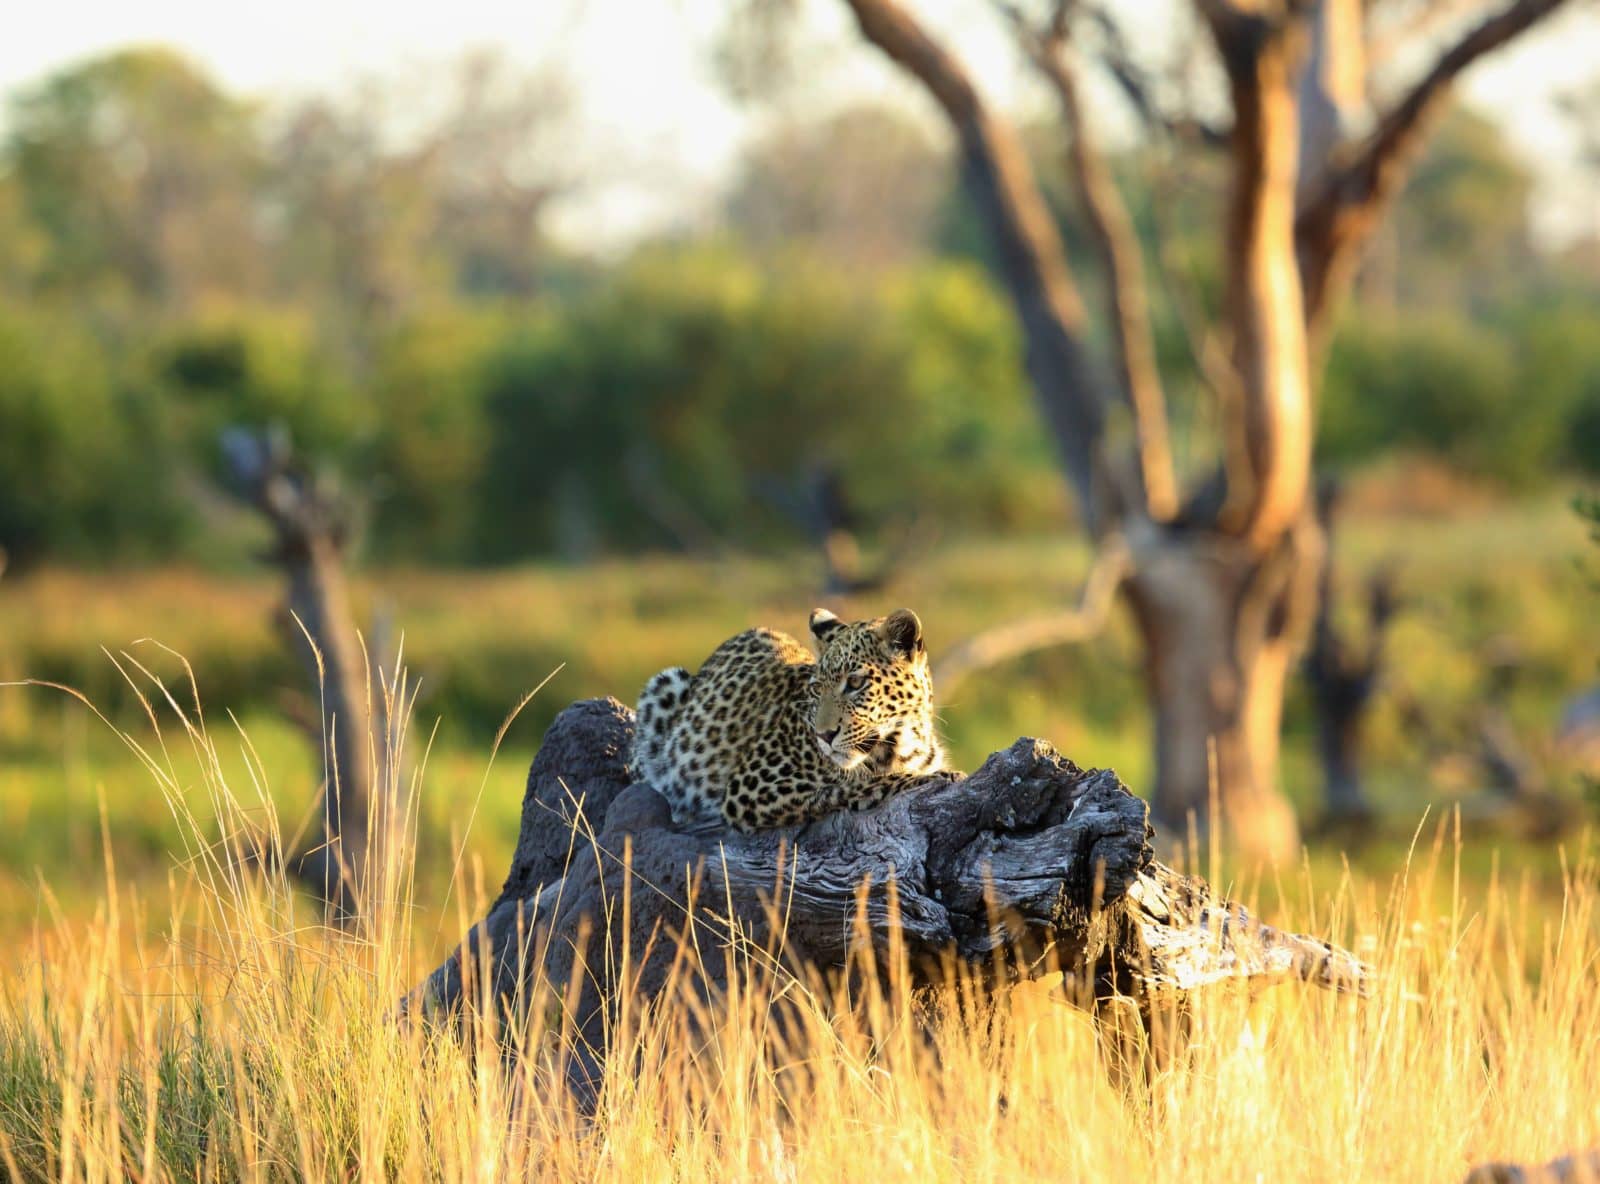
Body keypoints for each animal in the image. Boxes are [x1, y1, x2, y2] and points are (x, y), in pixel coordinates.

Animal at [631, 607, 952, 831]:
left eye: (856, 682)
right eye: (816, 688)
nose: (824, 736)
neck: (903, 743)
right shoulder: (750, 788)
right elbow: (849, 786)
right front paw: (932, 777)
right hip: (666, 685)